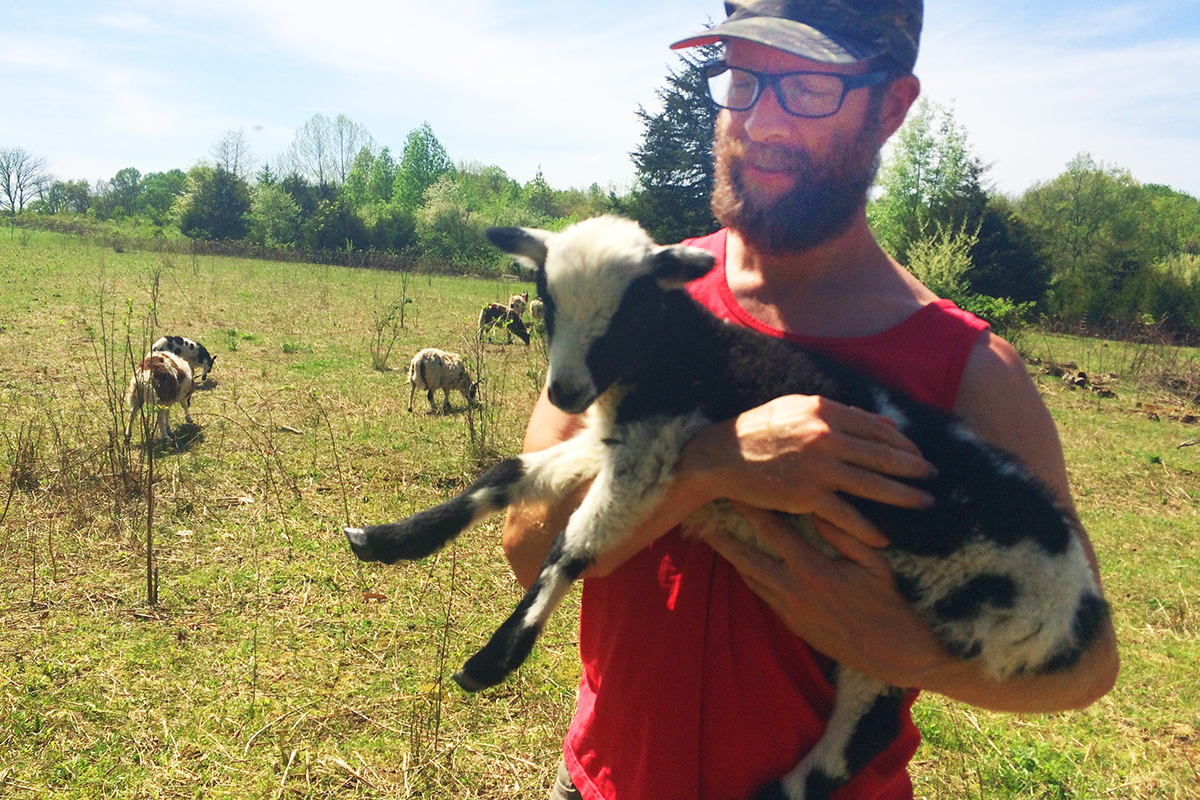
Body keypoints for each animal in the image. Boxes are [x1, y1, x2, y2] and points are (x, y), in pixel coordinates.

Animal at [343, 215, 1108, 800]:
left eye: (628, 316)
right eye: (546, 303)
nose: (563, 393)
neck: (685, 354)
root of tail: (1079, 607)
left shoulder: (652, 451)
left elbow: (573, 550)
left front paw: (491, 661)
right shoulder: (617, 439)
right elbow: (505, 476)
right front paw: (387, 541)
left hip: (937, 613)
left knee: (870, 724)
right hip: (883, 628)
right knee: (868, 717)